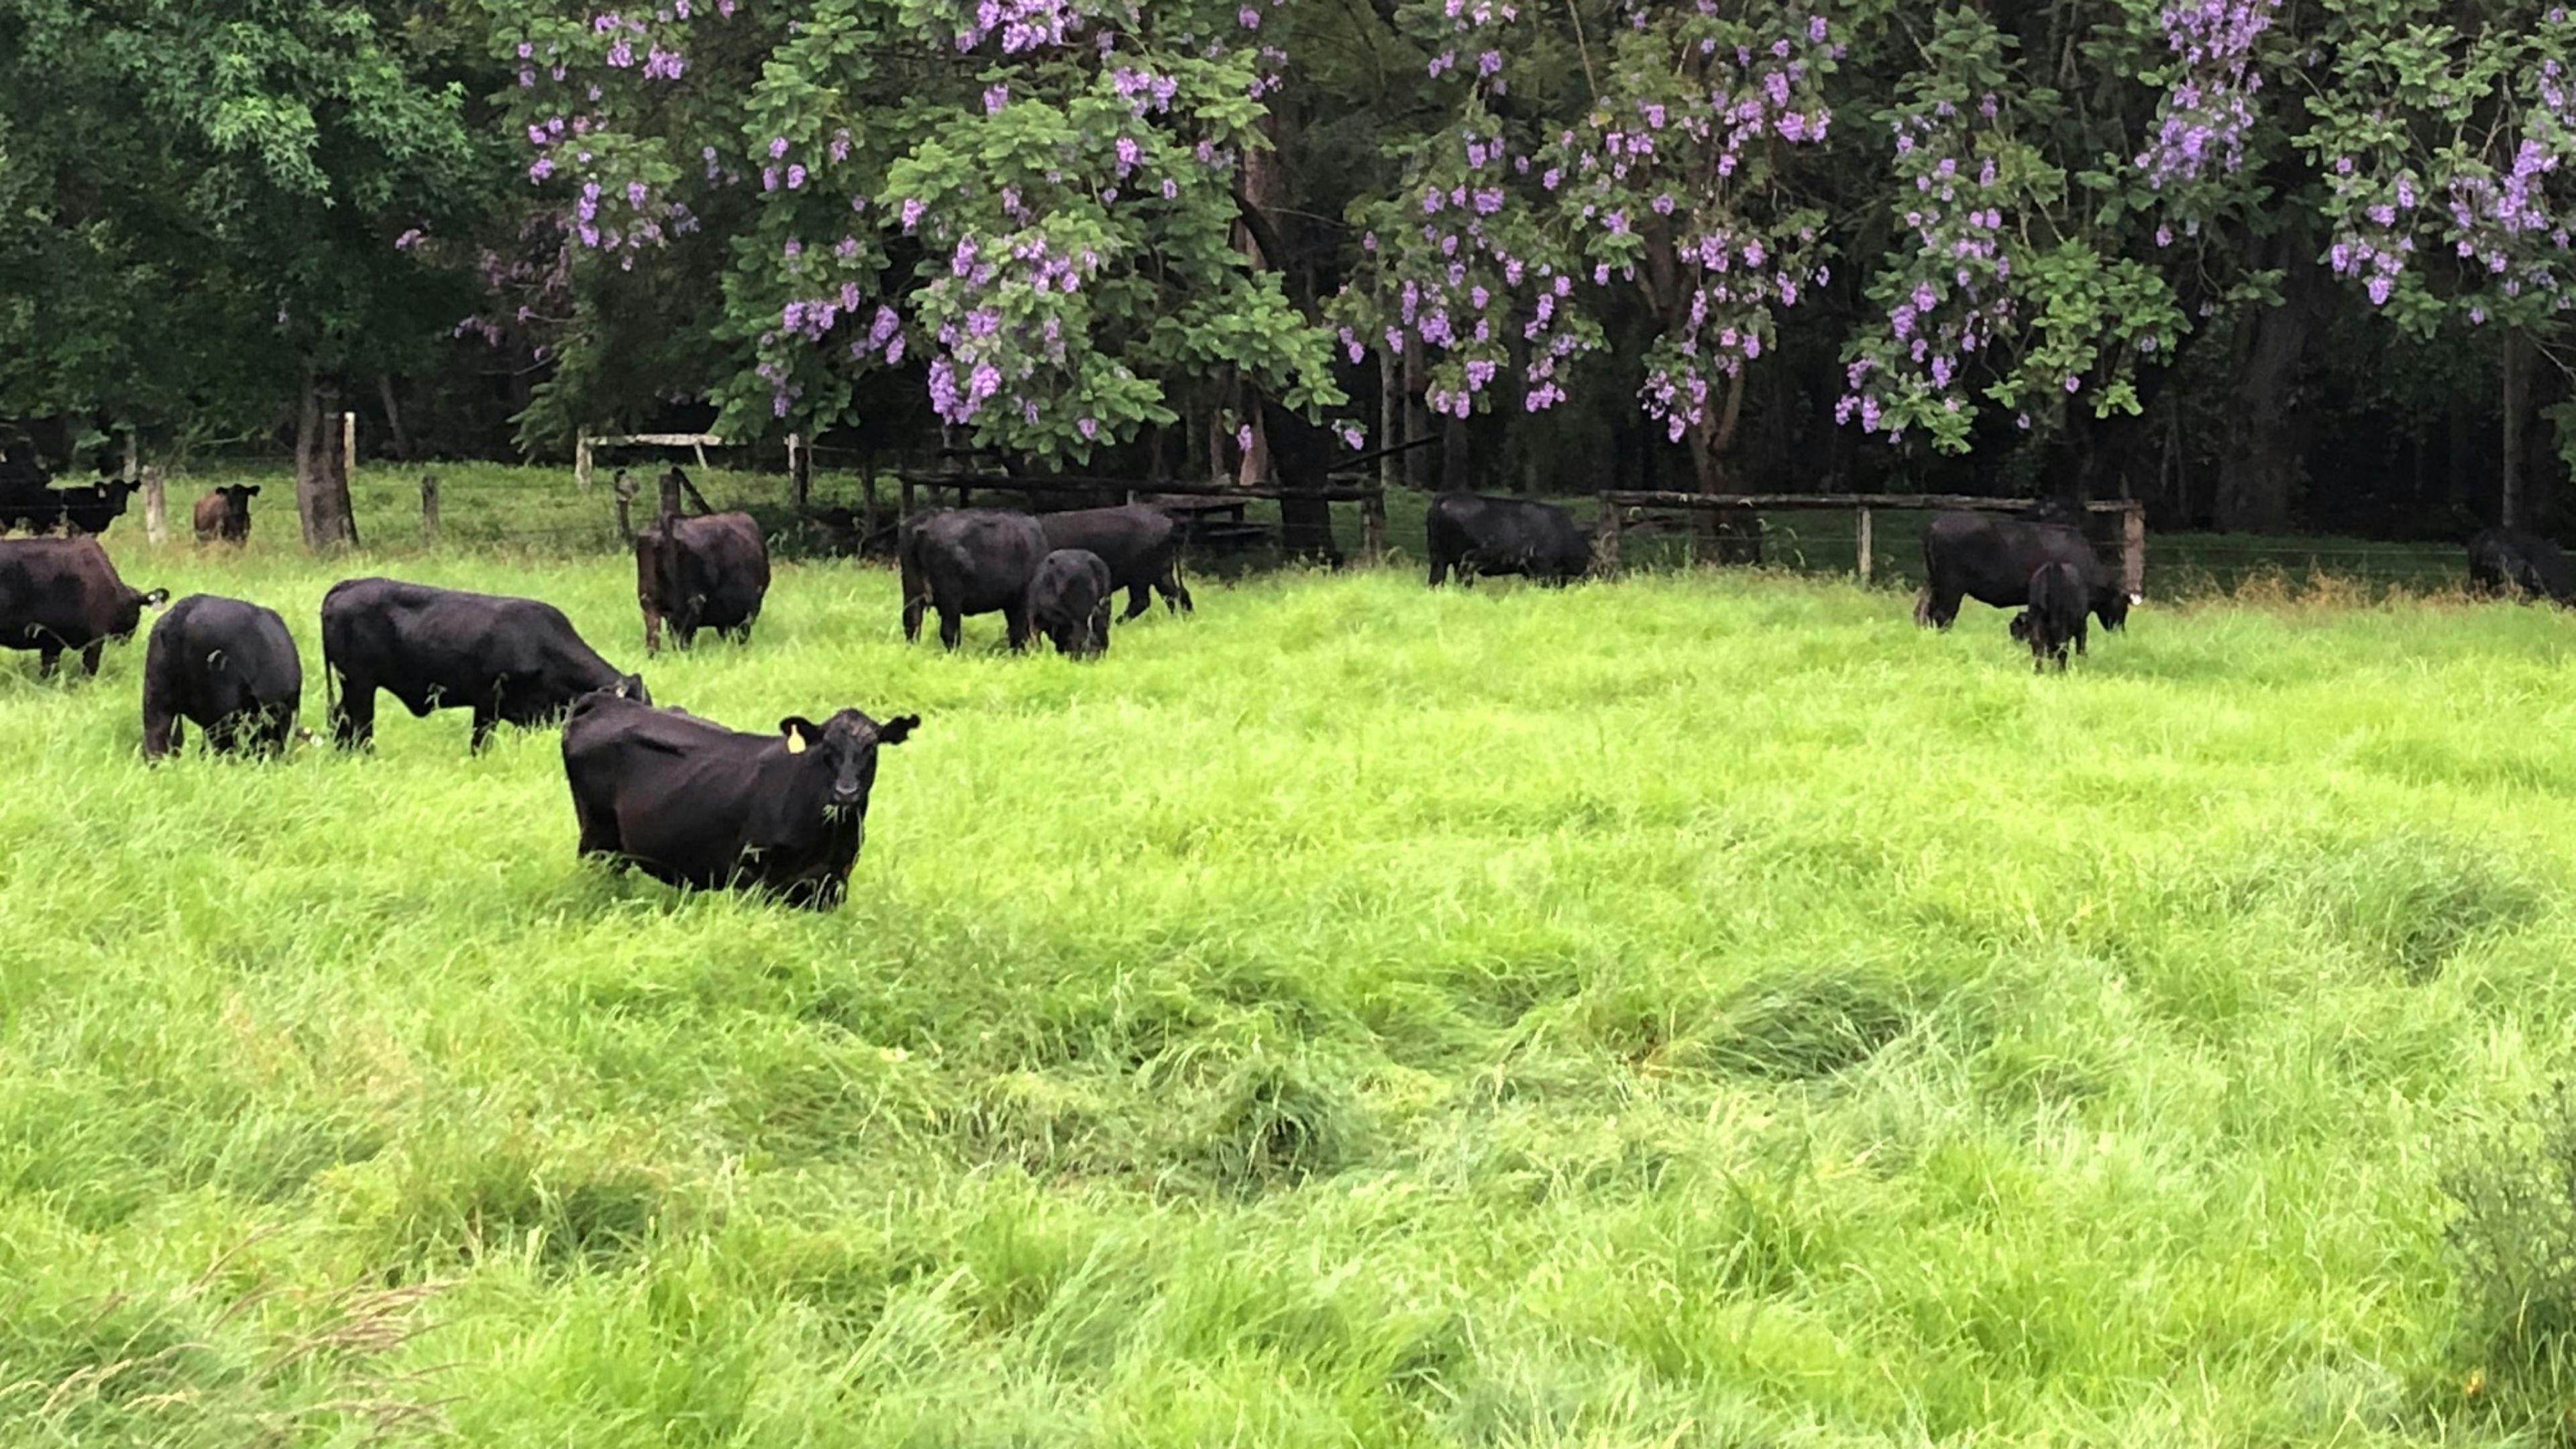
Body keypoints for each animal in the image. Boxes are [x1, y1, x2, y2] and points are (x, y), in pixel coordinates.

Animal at [321, 578, 647, 752]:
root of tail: (350, 584)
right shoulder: (488, 703)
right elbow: (480, 744)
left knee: (341, 721)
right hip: (360, 685)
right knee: (359, 726)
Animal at [561, 691, 920, 909]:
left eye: (871, 748)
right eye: (826, 748)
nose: (846, 792)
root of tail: (606, 701)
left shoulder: (833, 882)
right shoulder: (752, 876)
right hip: (596, 840)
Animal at [900, 508, 1049, 651]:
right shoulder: (1020, 601)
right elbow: (1019, 634)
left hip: (912, 591)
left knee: (912, 624)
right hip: (950, 598)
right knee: (949, 633)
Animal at [1916, 511, 2136, 632]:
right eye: (2122, 606)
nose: (2120, 632)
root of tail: (1935, 524)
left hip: (1933, 583)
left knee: (1923, 611)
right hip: (1951, 586)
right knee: (1942, 615)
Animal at [2009, 562, 2090, 673]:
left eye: (2014, 628)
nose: (2014, 642)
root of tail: (2053, 567)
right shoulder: (2081, 627)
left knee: (2039, 643)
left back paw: (2039, 670)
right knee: (2062, 646)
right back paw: (2061, 670)